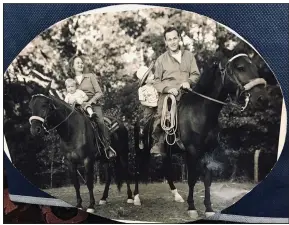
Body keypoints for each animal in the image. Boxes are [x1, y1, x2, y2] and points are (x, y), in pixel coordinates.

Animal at [27, 84, 133, 213]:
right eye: (30, 106)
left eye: (44, 104)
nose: (35, 130)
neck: (72, 132)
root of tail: (120, 123)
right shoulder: (70, 162)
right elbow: (76, 184)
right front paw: (79, 204)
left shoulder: (88, 160)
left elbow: (89, 183)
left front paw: (91, 206)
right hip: (105, 159)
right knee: (108, 177)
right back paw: (103, 198)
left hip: (123, 154)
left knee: (126, 172)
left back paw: (130, 198)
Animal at [133, 52, 268, 218]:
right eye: (240, 68)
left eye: (255, 67)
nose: (262, 98)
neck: (200, 112)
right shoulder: (192, 152)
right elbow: (192, 179)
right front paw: (192, 208)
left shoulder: (207, 152)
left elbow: (207, 179)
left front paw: (209, 209)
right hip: (142, 149)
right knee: (137, 168)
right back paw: (135, 198)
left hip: (167, 152)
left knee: (167, 170)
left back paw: (176, 196)